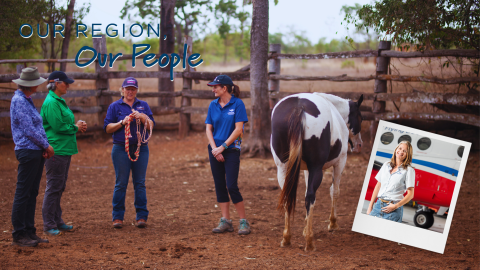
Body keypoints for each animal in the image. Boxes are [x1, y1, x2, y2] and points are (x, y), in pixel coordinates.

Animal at [272, 93, 362, 251]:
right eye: (360, 117)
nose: (359, 145)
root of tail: (299, 107)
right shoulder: (340, 162)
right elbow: (334, 191)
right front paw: (332, 223)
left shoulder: (307, 170)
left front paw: (305, 228)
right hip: (317, 168)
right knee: (310, 197)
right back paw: (309, 242)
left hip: (283, 168)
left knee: (288, 197)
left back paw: (287, 238)